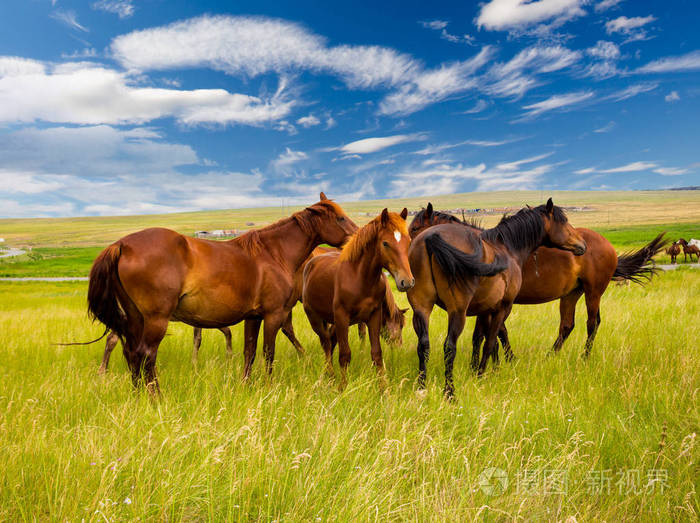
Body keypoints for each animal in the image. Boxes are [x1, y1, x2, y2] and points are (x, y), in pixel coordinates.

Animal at [87, 193, 357, 393]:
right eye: (340, 219)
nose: (357, 237)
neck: (273, 253)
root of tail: (122, 245)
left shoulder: (253, 317)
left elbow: (249, 352)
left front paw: (246, 387)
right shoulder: (273, 315)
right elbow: (268, 353)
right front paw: (268, 387)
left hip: (135, 319)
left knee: (131, 353)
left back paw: (140, 395)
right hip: (155, 320)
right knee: (145, 355)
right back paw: (156, 398)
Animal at [302, 208, 414, 387]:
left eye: (408, 242)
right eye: (385, 243)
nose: (407, 281)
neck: (360, 277)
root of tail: (311, 263)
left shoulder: (373, 317)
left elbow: (376, 354)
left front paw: (384, 389)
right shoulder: (342, 318)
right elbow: (345, 355)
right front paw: (342, 388)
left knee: (330, 342)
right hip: (315, 319)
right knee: (326, 344)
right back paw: (330, 377)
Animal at [408, 199, 587, 398]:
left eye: (414, 227)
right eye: (564, 221)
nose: (582, 244)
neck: (507, 248)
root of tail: (430, 238)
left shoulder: (485, 310)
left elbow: (483, 339)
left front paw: (486, 369)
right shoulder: (502, 308)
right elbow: (491, 340)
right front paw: (482, 374)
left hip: (422, 309)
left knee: (423, 345)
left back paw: (421, 387)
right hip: (457, 312)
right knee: (449, 347)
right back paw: (450, 392)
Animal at [410, 203, 666, 362]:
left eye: (414, 228)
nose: (409, 256)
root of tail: (606, 244)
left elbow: (494, 334)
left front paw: (504, 361)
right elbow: (494, 333)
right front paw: (502, 360)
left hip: (593, 292)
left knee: (592, 324)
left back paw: (584, 357)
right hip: (571, 294)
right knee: (567, 325)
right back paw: (550, 356)